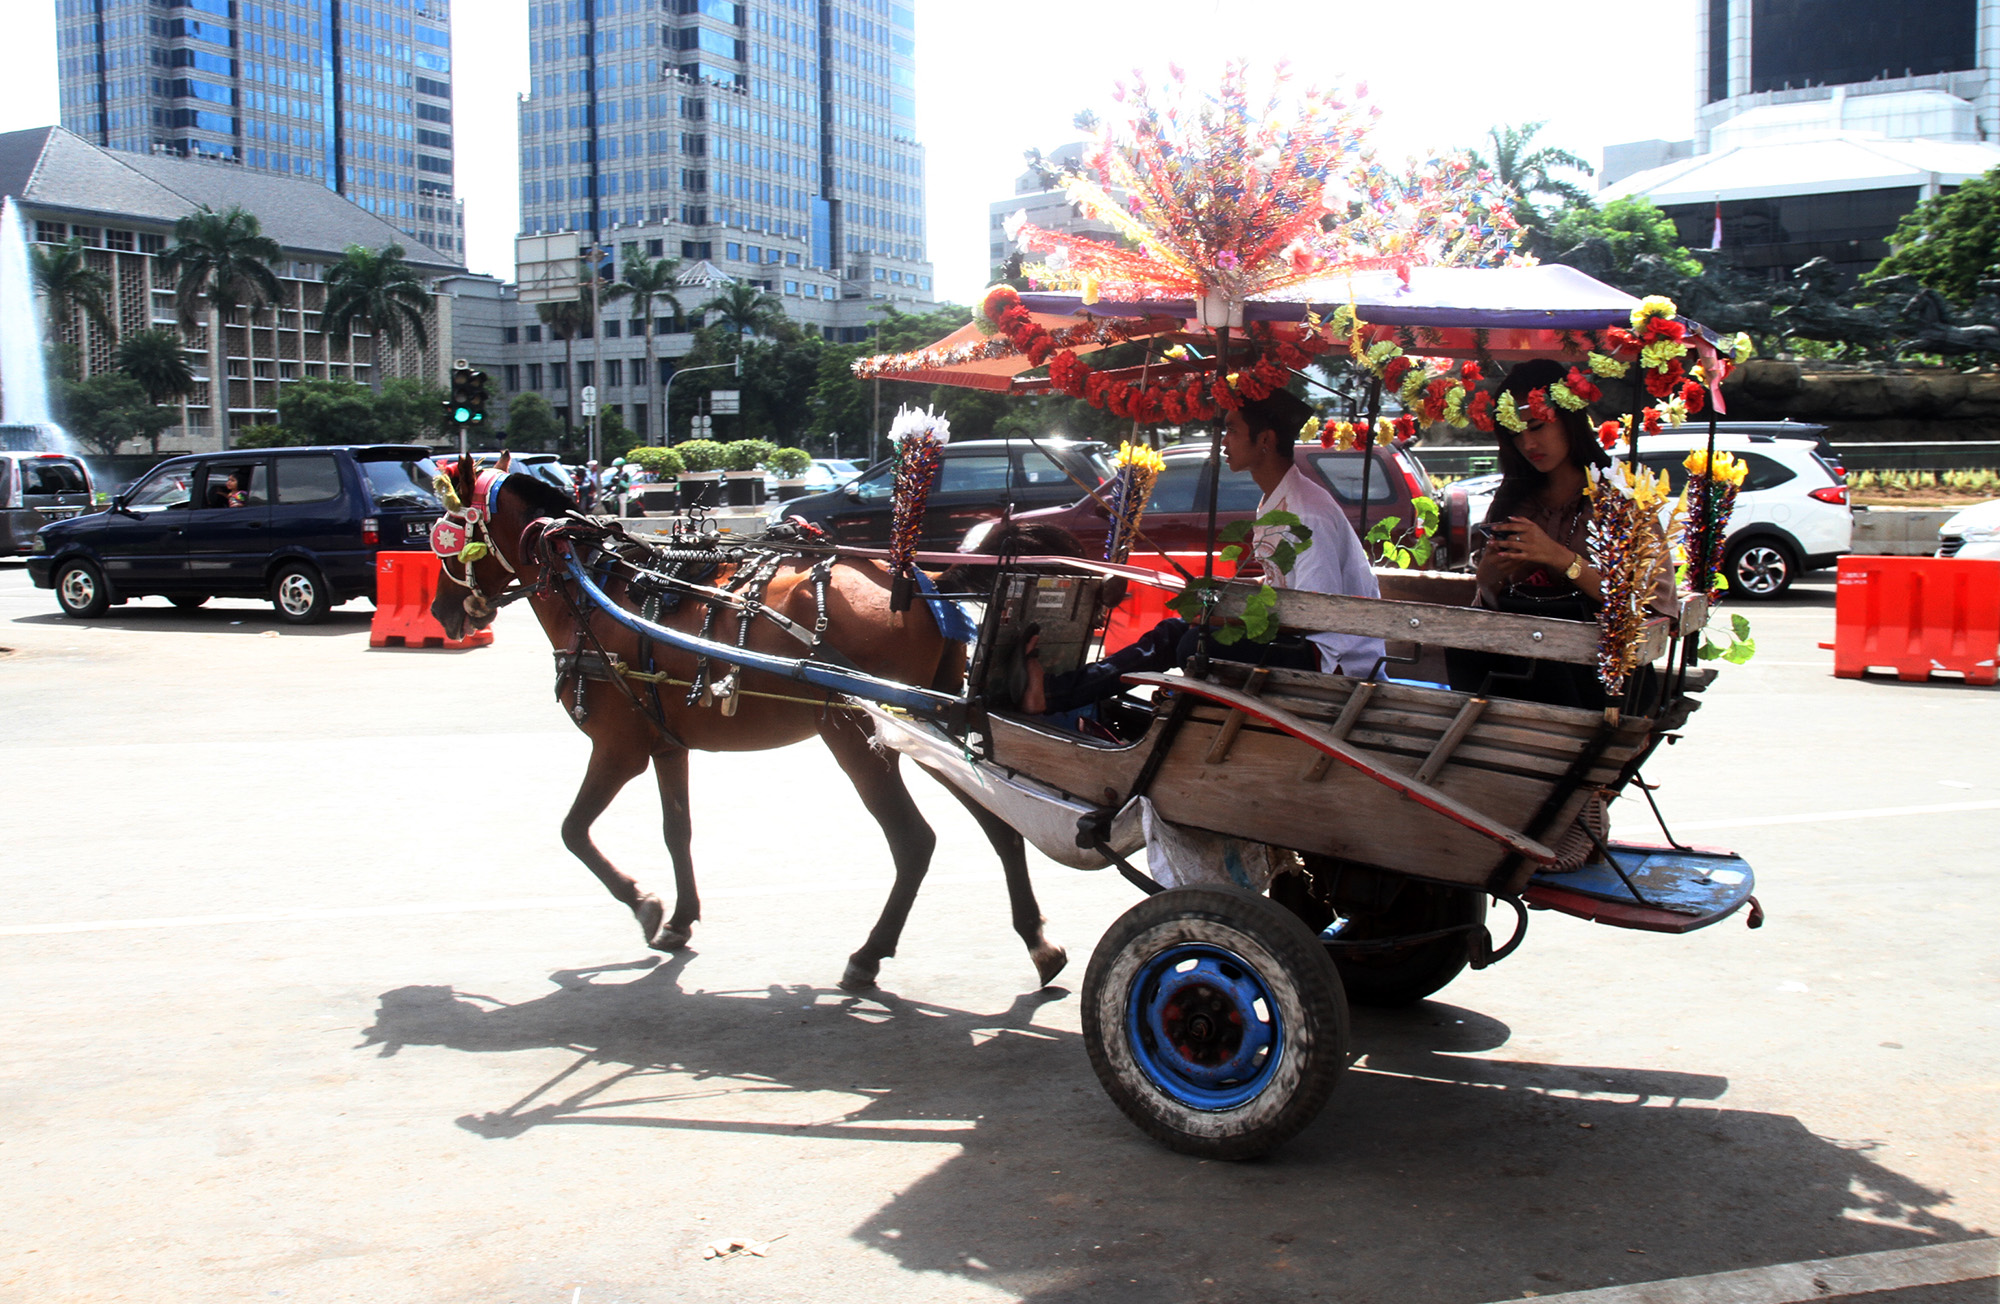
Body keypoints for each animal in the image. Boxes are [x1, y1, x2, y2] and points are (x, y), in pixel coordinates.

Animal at [422, 450, 1064, 988]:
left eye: (447, 532)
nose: (443, 612)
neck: (594, 586)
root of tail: (916, 585)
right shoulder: (666, 744)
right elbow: (676, 829)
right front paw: (680, 918)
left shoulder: (617, 748)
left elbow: (573, 830)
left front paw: (644, 903)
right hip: (927, 727)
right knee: (1000, 825)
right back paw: (1039, 944)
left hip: (858, 735)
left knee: (913, 841)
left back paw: (869, 954)